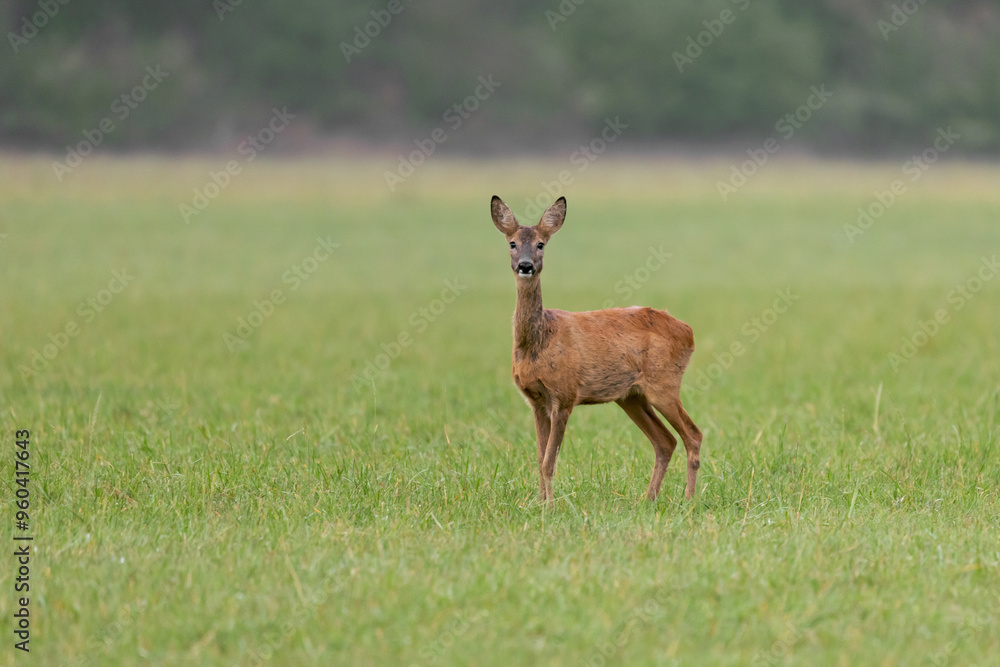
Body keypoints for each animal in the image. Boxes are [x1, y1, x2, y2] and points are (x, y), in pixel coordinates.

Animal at [491, 195, 702, 505]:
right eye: (512, 243)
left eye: (541, 243)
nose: (526, 265)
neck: (540, 341)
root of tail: (688, 332)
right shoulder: (536, 400)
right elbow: (539, 458)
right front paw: (539, 503)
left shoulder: (564, 396)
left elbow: (549, 461)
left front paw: (550, 506)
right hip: (631, 396)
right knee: (666, 440)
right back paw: (648, 499)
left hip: (664, 383)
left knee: (692, 435)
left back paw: (688, 500)